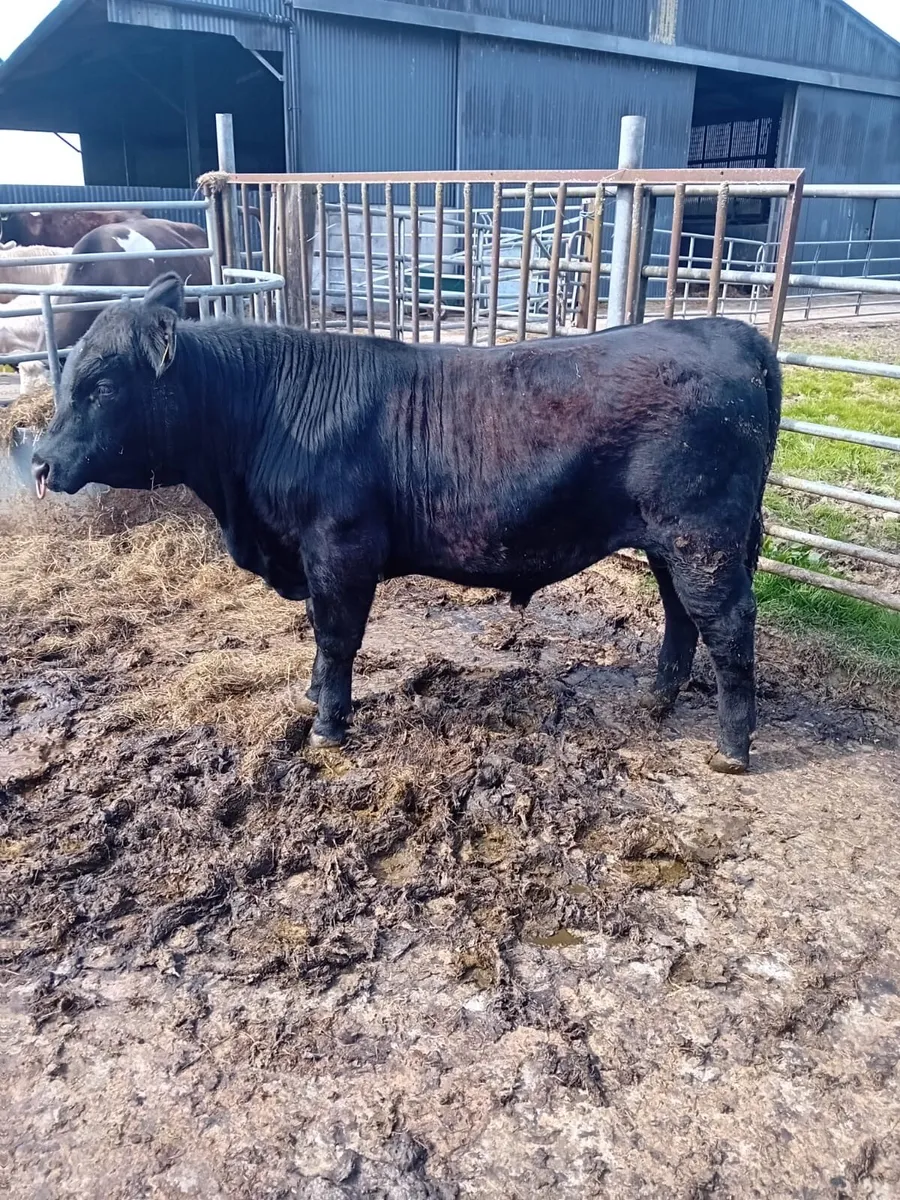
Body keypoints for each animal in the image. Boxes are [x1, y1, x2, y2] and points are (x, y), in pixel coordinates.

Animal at [32, 273, 783, 774]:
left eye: (100, 385)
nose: (39, 461)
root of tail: (728, 329)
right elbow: (322, 639)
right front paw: (314, 697)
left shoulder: (341, 548)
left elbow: (337, 637)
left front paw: (328, 724)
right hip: (671, 539)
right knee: (681, 614)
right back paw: (657, 698)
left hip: (702, 536)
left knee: (727, 625)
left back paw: (732, 748)